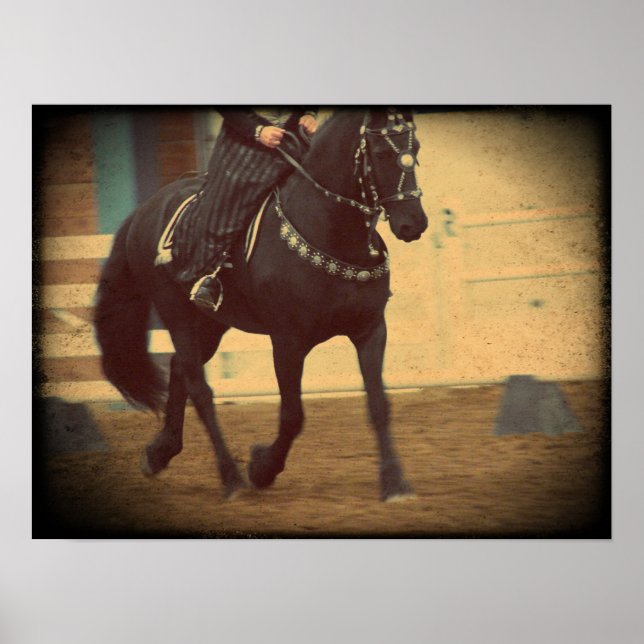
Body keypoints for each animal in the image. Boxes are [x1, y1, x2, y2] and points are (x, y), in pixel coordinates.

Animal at [94, 108, 428, 502]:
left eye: (415, 149)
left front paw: (396, 484)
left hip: (210, 323)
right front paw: (261, 468)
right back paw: (231, 479)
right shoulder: (287, 342)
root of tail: (144, 210)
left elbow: (378, 405)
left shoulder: (370, 330)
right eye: (379, 152)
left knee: (179, 371)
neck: (327, 228)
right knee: (199, 388)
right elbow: (292, 416)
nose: (413, 224)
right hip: (176, 314)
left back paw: (159, 453)